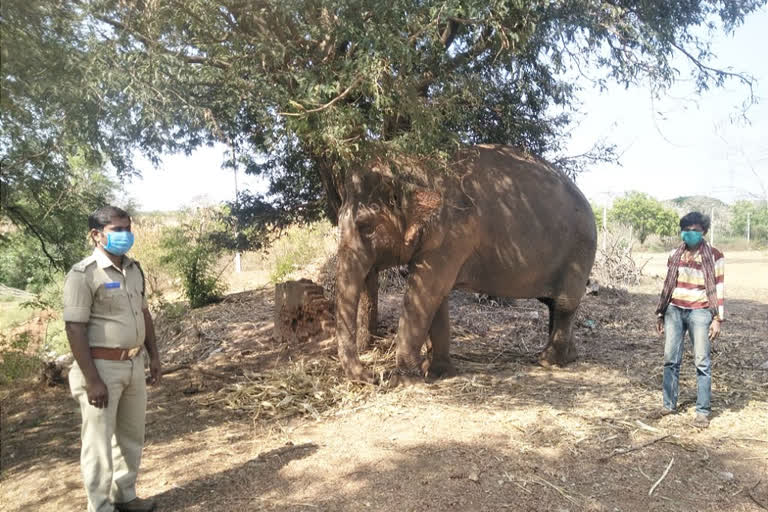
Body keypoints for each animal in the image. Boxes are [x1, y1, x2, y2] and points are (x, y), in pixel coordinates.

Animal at [334, 145, 592, 384]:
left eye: (365, 226)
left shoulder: (453, 236)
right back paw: (570, 357)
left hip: (579, 253)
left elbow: (425, 294)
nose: (371, 377)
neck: (417, 165)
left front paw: (406, 381)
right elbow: (437, 298)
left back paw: (548, 361)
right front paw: (438, 372)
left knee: (564, 305)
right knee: (553, 303)